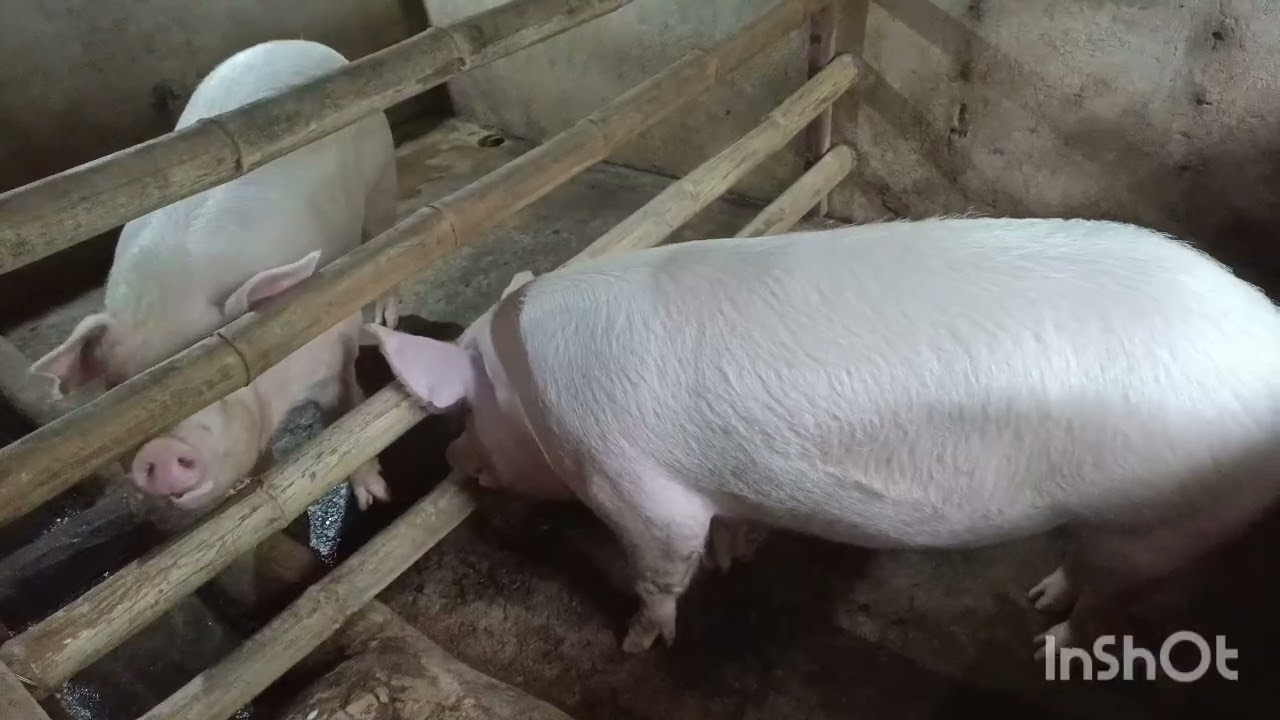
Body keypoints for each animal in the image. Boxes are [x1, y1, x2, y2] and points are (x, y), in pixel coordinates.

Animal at [30, 39, 400, 511]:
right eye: (118, 386)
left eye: (220, 378)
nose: (160, 450)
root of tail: (298, 42)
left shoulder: (334, 345)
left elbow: (349, 413)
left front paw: (374, 497)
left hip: (381, 178)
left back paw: (386, 316)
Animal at [365, 216, 1280, 659]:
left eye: (461, 413)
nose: (450, 460)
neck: (530, 389)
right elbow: (728, 529)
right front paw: (736, 557)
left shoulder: (633, 485)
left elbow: (662, 568)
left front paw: (635, 642)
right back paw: (1039, 599)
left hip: (1160, 520)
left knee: (1118, 596)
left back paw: (1050, 642)